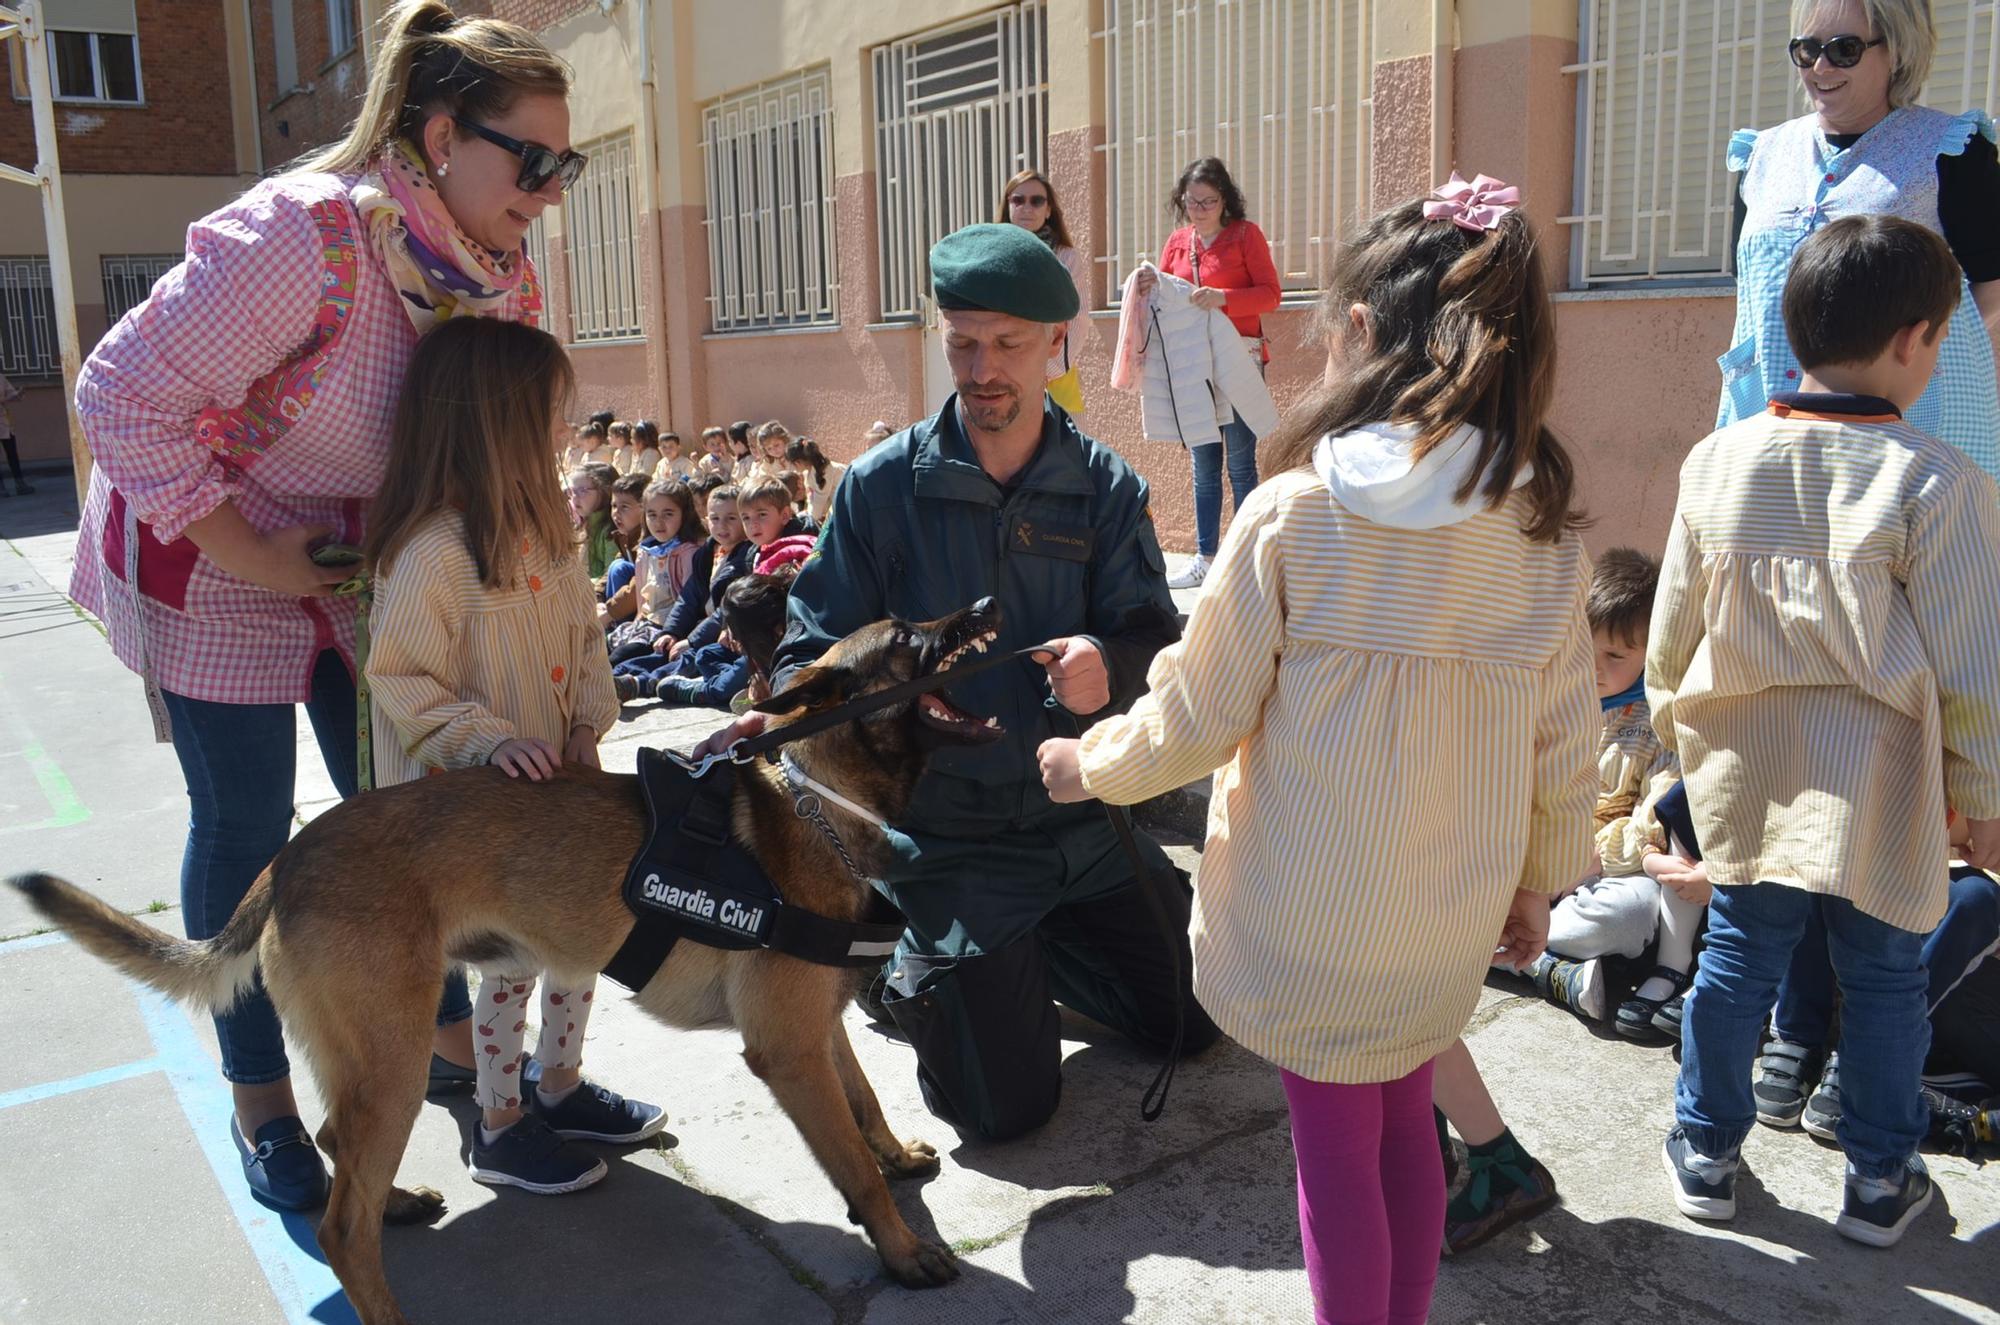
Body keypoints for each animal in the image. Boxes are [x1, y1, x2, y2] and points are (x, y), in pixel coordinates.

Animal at [11, 604, 1016, 1325]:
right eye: (908, 638)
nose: (985, 603)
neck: (822, 799)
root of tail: (288, 858)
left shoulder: (817, 1026)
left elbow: (866, 1100)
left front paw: (897, 1157)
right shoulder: (790, 1049)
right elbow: (848, 1159)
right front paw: (902, 1248)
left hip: (375, 1059)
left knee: (343, 1156)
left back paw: (396, 1202)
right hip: (396, 1054)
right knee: (339, 1222)